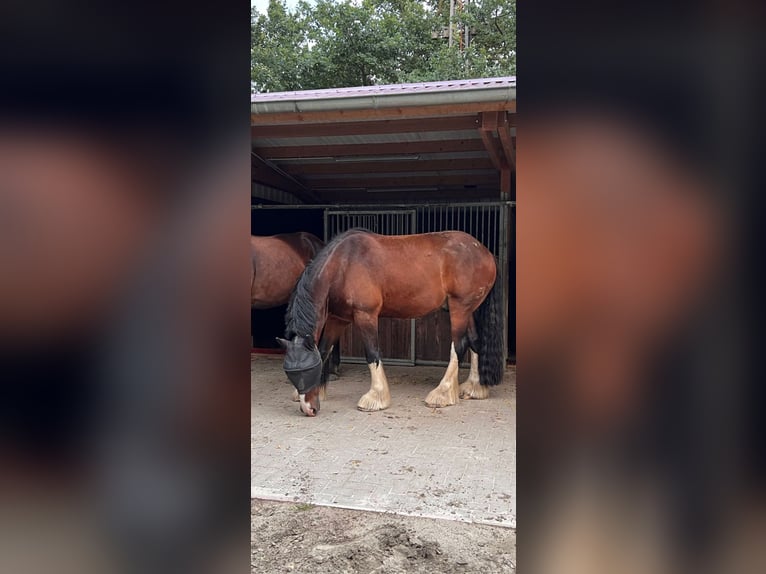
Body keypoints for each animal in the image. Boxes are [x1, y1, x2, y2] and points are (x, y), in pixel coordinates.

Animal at [280, 230, 508, 418]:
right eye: (292, 373)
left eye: (308, 371)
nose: (309, 409)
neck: (343, 265)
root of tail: (486, 253)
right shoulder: (338, 320)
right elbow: (324, 350)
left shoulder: (366, 316)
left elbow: (372, 354)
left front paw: (376, 397)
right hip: (469, 310)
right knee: (475, 342)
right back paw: (474, 388)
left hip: (459, 307)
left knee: (459, 346)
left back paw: (441, 393)